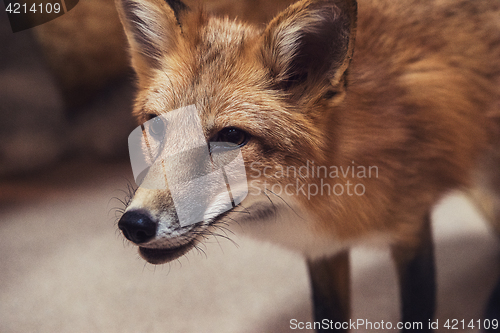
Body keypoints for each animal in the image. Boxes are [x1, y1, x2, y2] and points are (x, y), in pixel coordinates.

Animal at [114, 0, 500, 328]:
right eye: (156, 125)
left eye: (231, 136)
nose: (135, 224)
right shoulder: (322, 248)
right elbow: (328, 316)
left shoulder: (412, 229)